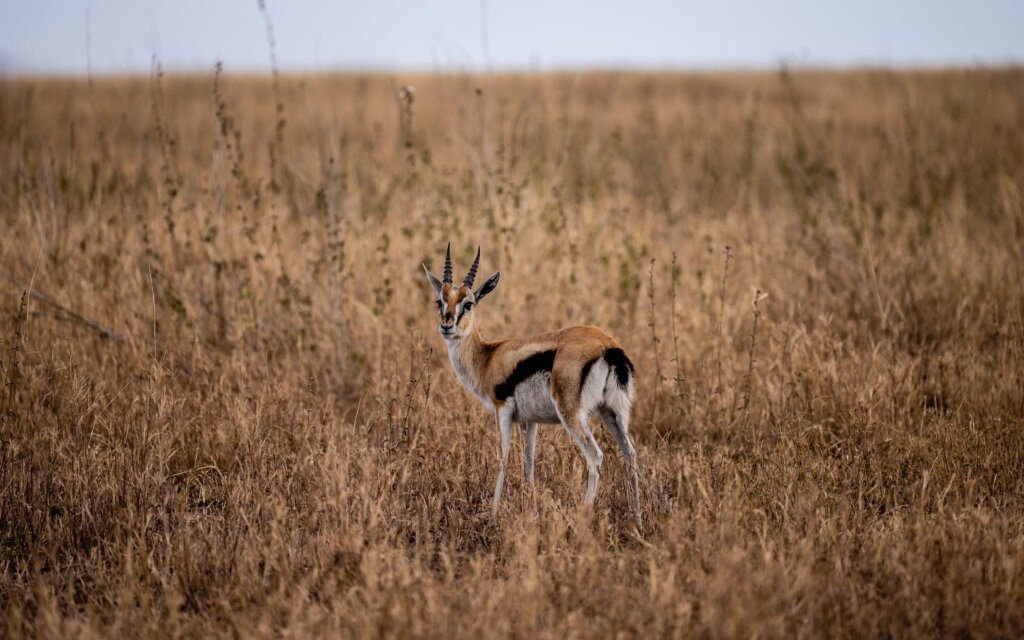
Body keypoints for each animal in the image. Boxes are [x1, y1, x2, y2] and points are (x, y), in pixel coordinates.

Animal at [423, 241, 638, 528]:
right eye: (440, 301)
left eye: (468, 304)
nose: (446, 325)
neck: (488, 356)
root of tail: (608, 345)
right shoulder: (529, 420)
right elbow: (528, 463)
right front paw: (530, 510)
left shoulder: (503, 410)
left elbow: (503, 458)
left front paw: (493, 517)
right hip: (613, 412)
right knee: (630, 454)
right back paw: (640, 519)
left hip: (573, 415)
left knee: (595, 457)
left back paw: (583, 518)